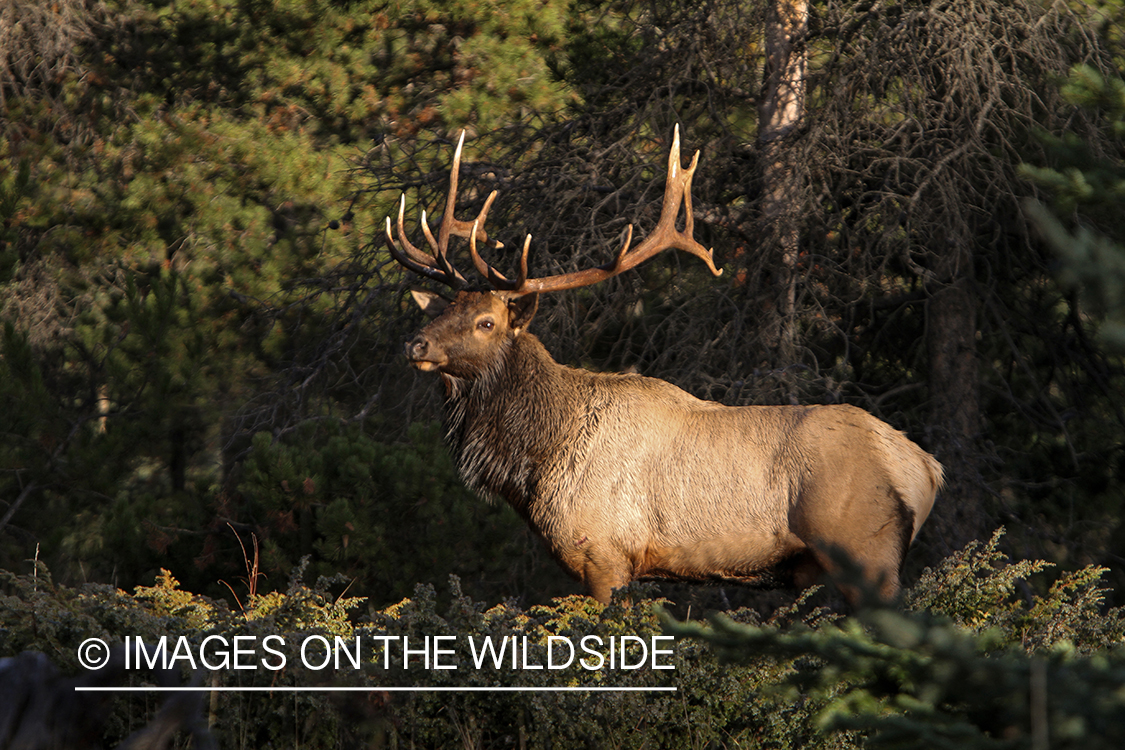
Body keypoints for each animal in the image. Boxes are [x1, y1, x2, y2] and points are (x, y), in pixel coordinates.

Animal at [387, 124, 940, 602]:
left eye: (486, 322)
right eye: (441, 310)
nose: (416, 345)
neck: (534, 465)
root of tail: (926, 469)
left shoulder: (603, 554)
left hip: (865, 552)